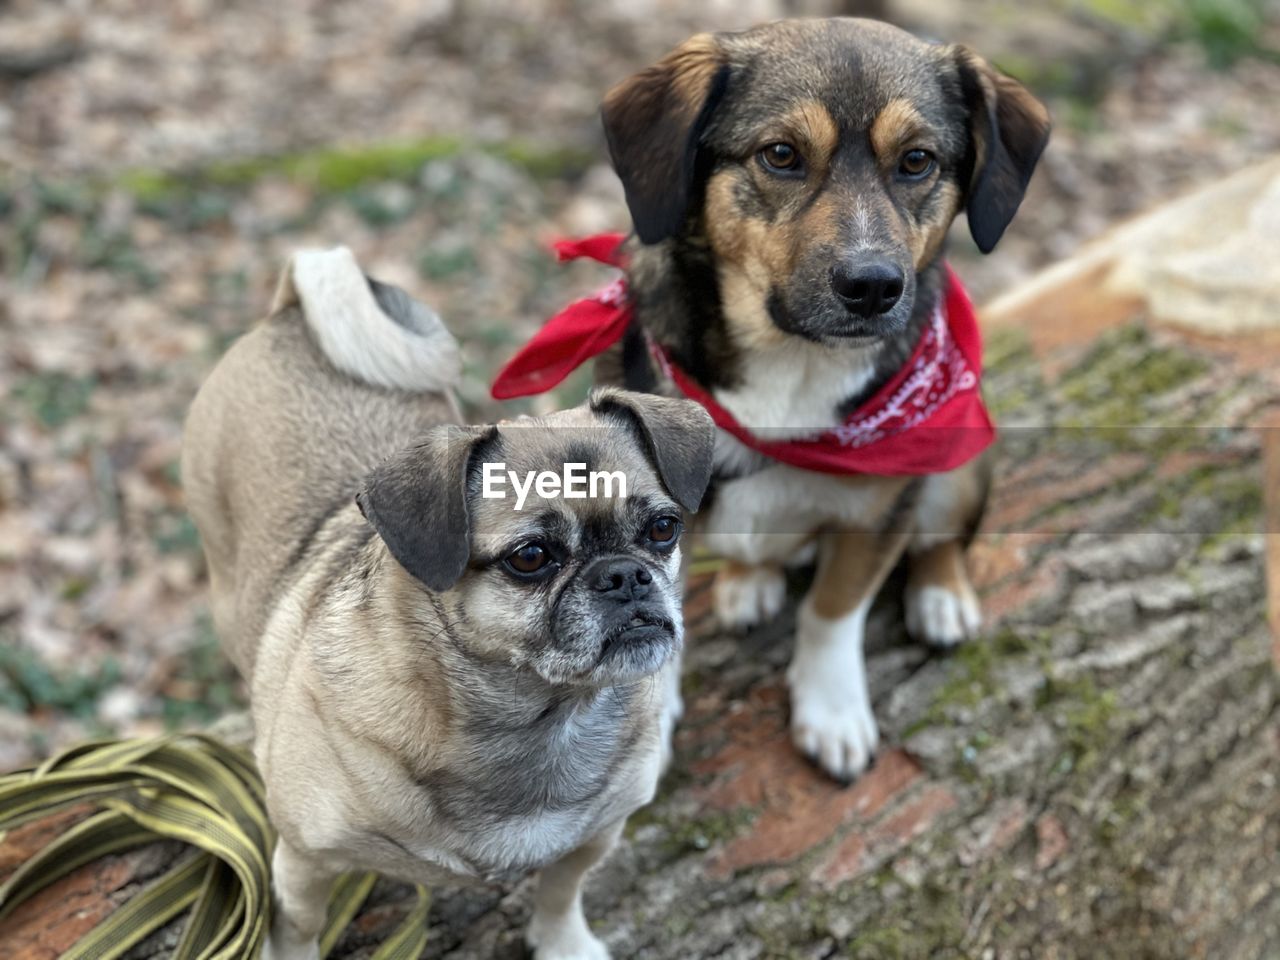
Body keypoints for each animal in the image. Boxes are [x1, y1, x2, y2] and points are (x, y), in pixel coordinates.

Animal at [184, 249, 716, 960]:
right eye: (530, 557)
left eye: (663, 529)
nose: (624, 576)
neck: (538, 718)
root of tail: (289, 311)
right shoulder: (304, 862)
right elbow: (297, 928)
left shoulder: (597, 834)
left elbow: (561, 891)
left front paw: (564, 943)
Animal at [593, 18, 1044, 783]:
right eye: (781, 154)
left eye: (917, 161)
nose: (872, 285)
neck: (793, 369)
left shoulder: (880, 512)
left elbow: (833, 614)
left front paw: (831, 712)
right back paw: (749, 580)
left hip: (958, 467)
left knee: (945, 537)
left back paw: (940, 596)